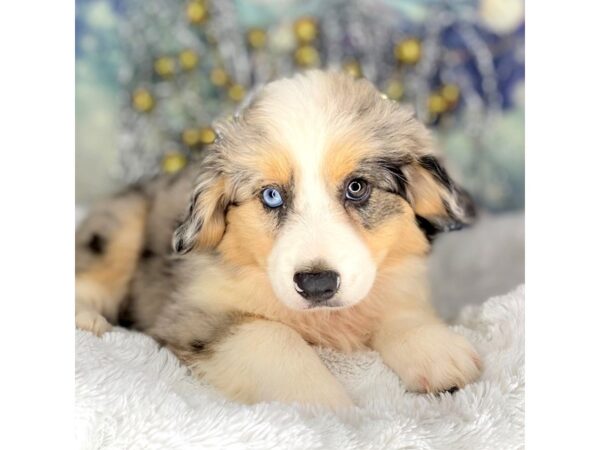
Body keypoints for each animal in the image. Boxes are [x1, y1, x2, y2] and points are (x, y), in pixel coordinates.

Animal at [77, 70, 482, 408]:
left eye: (357, 187)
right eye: (271, 195)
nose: (317, 284)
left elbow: (396, 305)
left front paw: (437, 352)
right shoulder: (193, 313)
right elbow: (273, 337)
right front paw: (328, 408)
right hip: (122, 223)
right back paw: (88, 318)